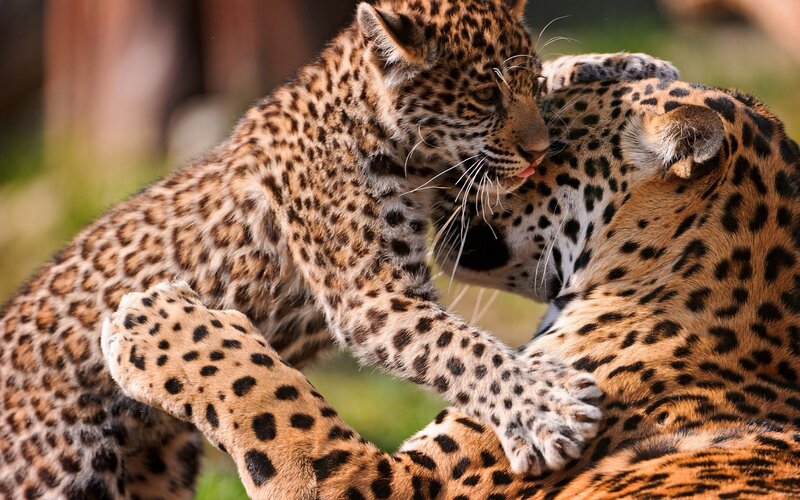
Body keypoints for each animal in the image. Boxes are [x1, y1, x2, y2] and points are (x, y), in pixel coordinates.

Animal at [0, 0, 681, 497]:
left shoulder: (448, 183)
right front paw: (547, 410)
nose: (540, 152)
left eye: (529, 84)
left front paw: (628, 64)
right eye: (484, 100)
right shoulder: (371, 295)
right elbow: (462, 349)